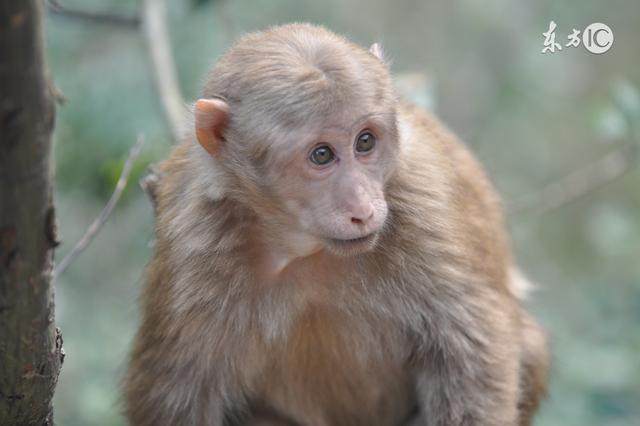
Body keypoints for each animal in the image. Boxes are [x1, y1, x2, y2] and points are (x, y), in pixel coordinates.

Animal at [124, 23, 552, 426]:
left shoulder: (421, 204)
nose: (363, 207)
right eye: (322, 155)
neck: (303, 248)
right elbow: (175, 391)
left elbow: (471, 349)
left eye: (365, 142)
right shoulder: (194, 242)